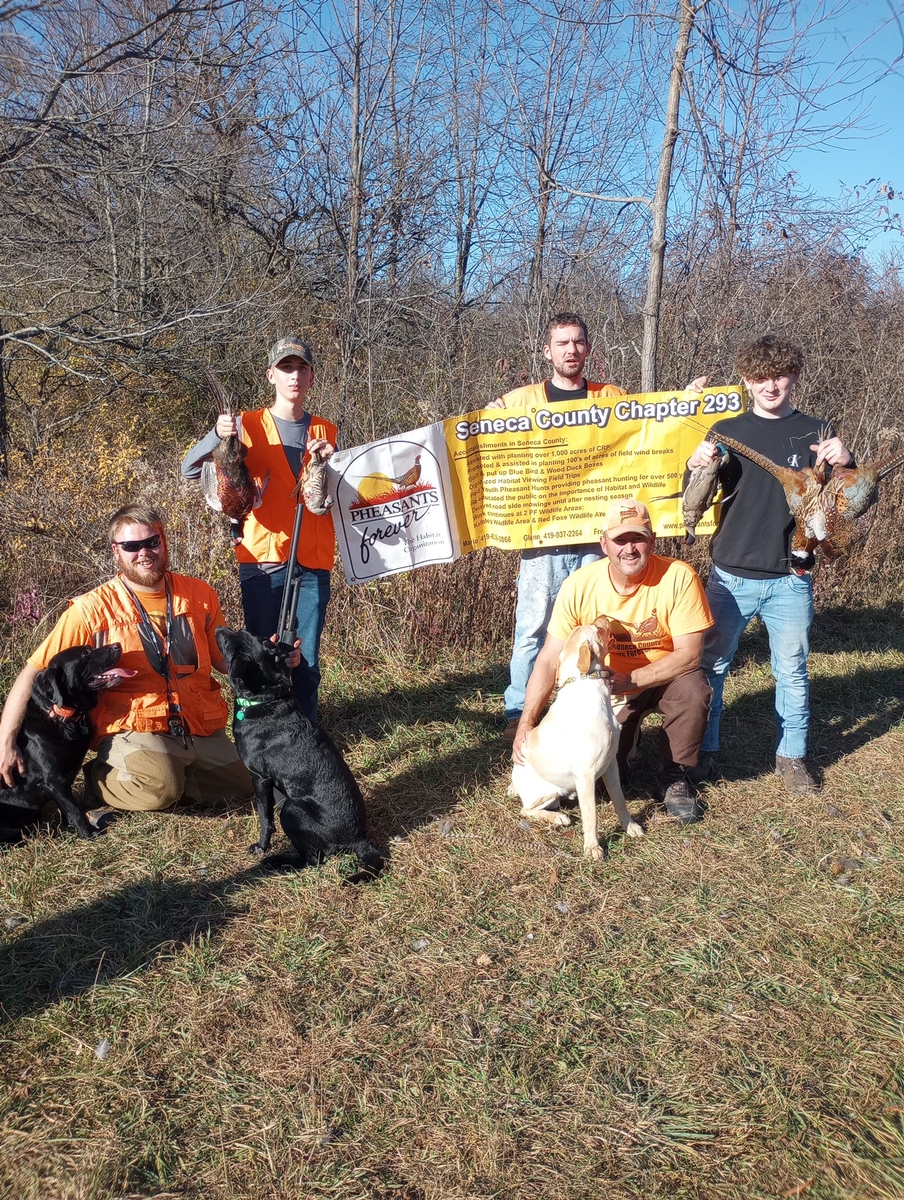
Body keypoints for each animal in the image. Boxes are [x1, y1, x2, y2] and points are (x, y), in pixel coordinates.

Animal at [214, 628, 381, 873]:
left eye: (231, 644)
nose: (219, 629)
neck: (264, 700)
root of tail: (359, 838)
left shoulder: (259, 777)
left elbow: (265, 819)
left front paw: (261, 847)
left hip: (292, 808)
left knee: (312, 860)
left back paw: (276, 862)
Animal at [509, 624, 643, 859]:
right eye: (598, 628)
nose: (605, 619)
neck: (588, 682)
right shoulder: (586, 773)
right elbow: (591, 815)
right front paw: (592, 848)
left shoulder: (611, 764)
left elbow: (619, 800)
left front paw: (630, 826)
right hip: (546, 791)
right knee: (526, 809)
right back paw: (559, 818)